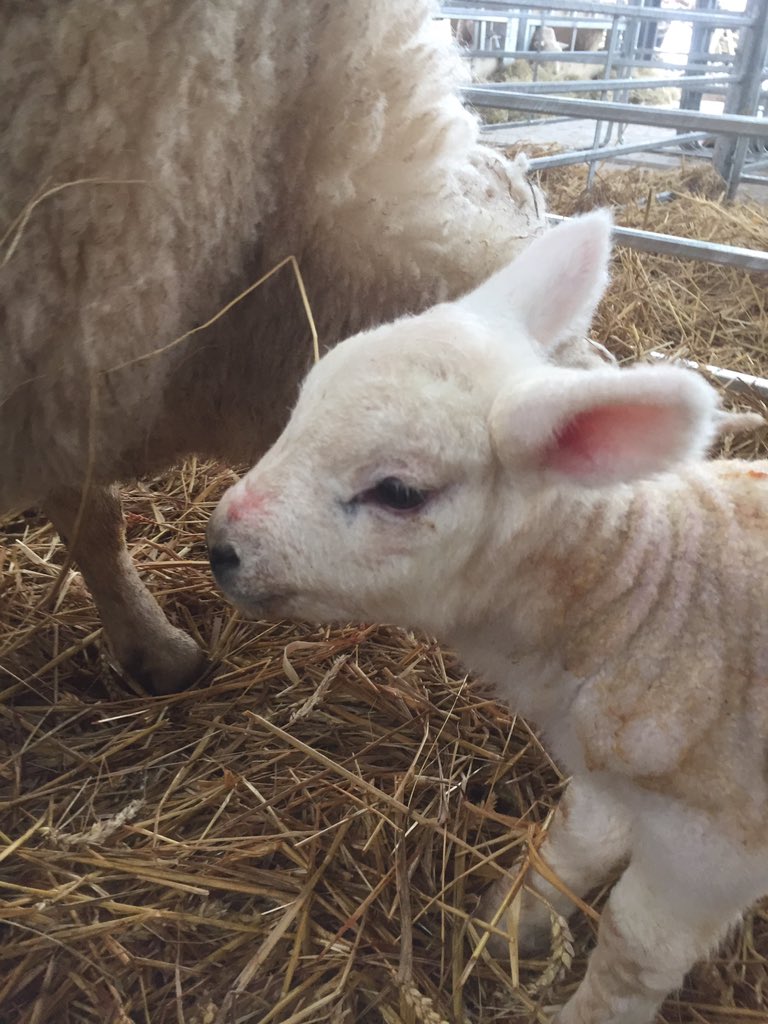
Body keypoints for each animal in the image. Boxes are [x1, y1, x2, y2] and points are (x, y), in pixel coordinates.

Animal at [206, 212, 768, 1024]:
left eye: (399, 492)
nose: (222, 548)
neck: (655, 600)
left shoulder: (712, 853)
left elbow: (633, 954)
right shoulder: (605, 781)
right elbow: (573, 843)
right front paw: (508, 924)